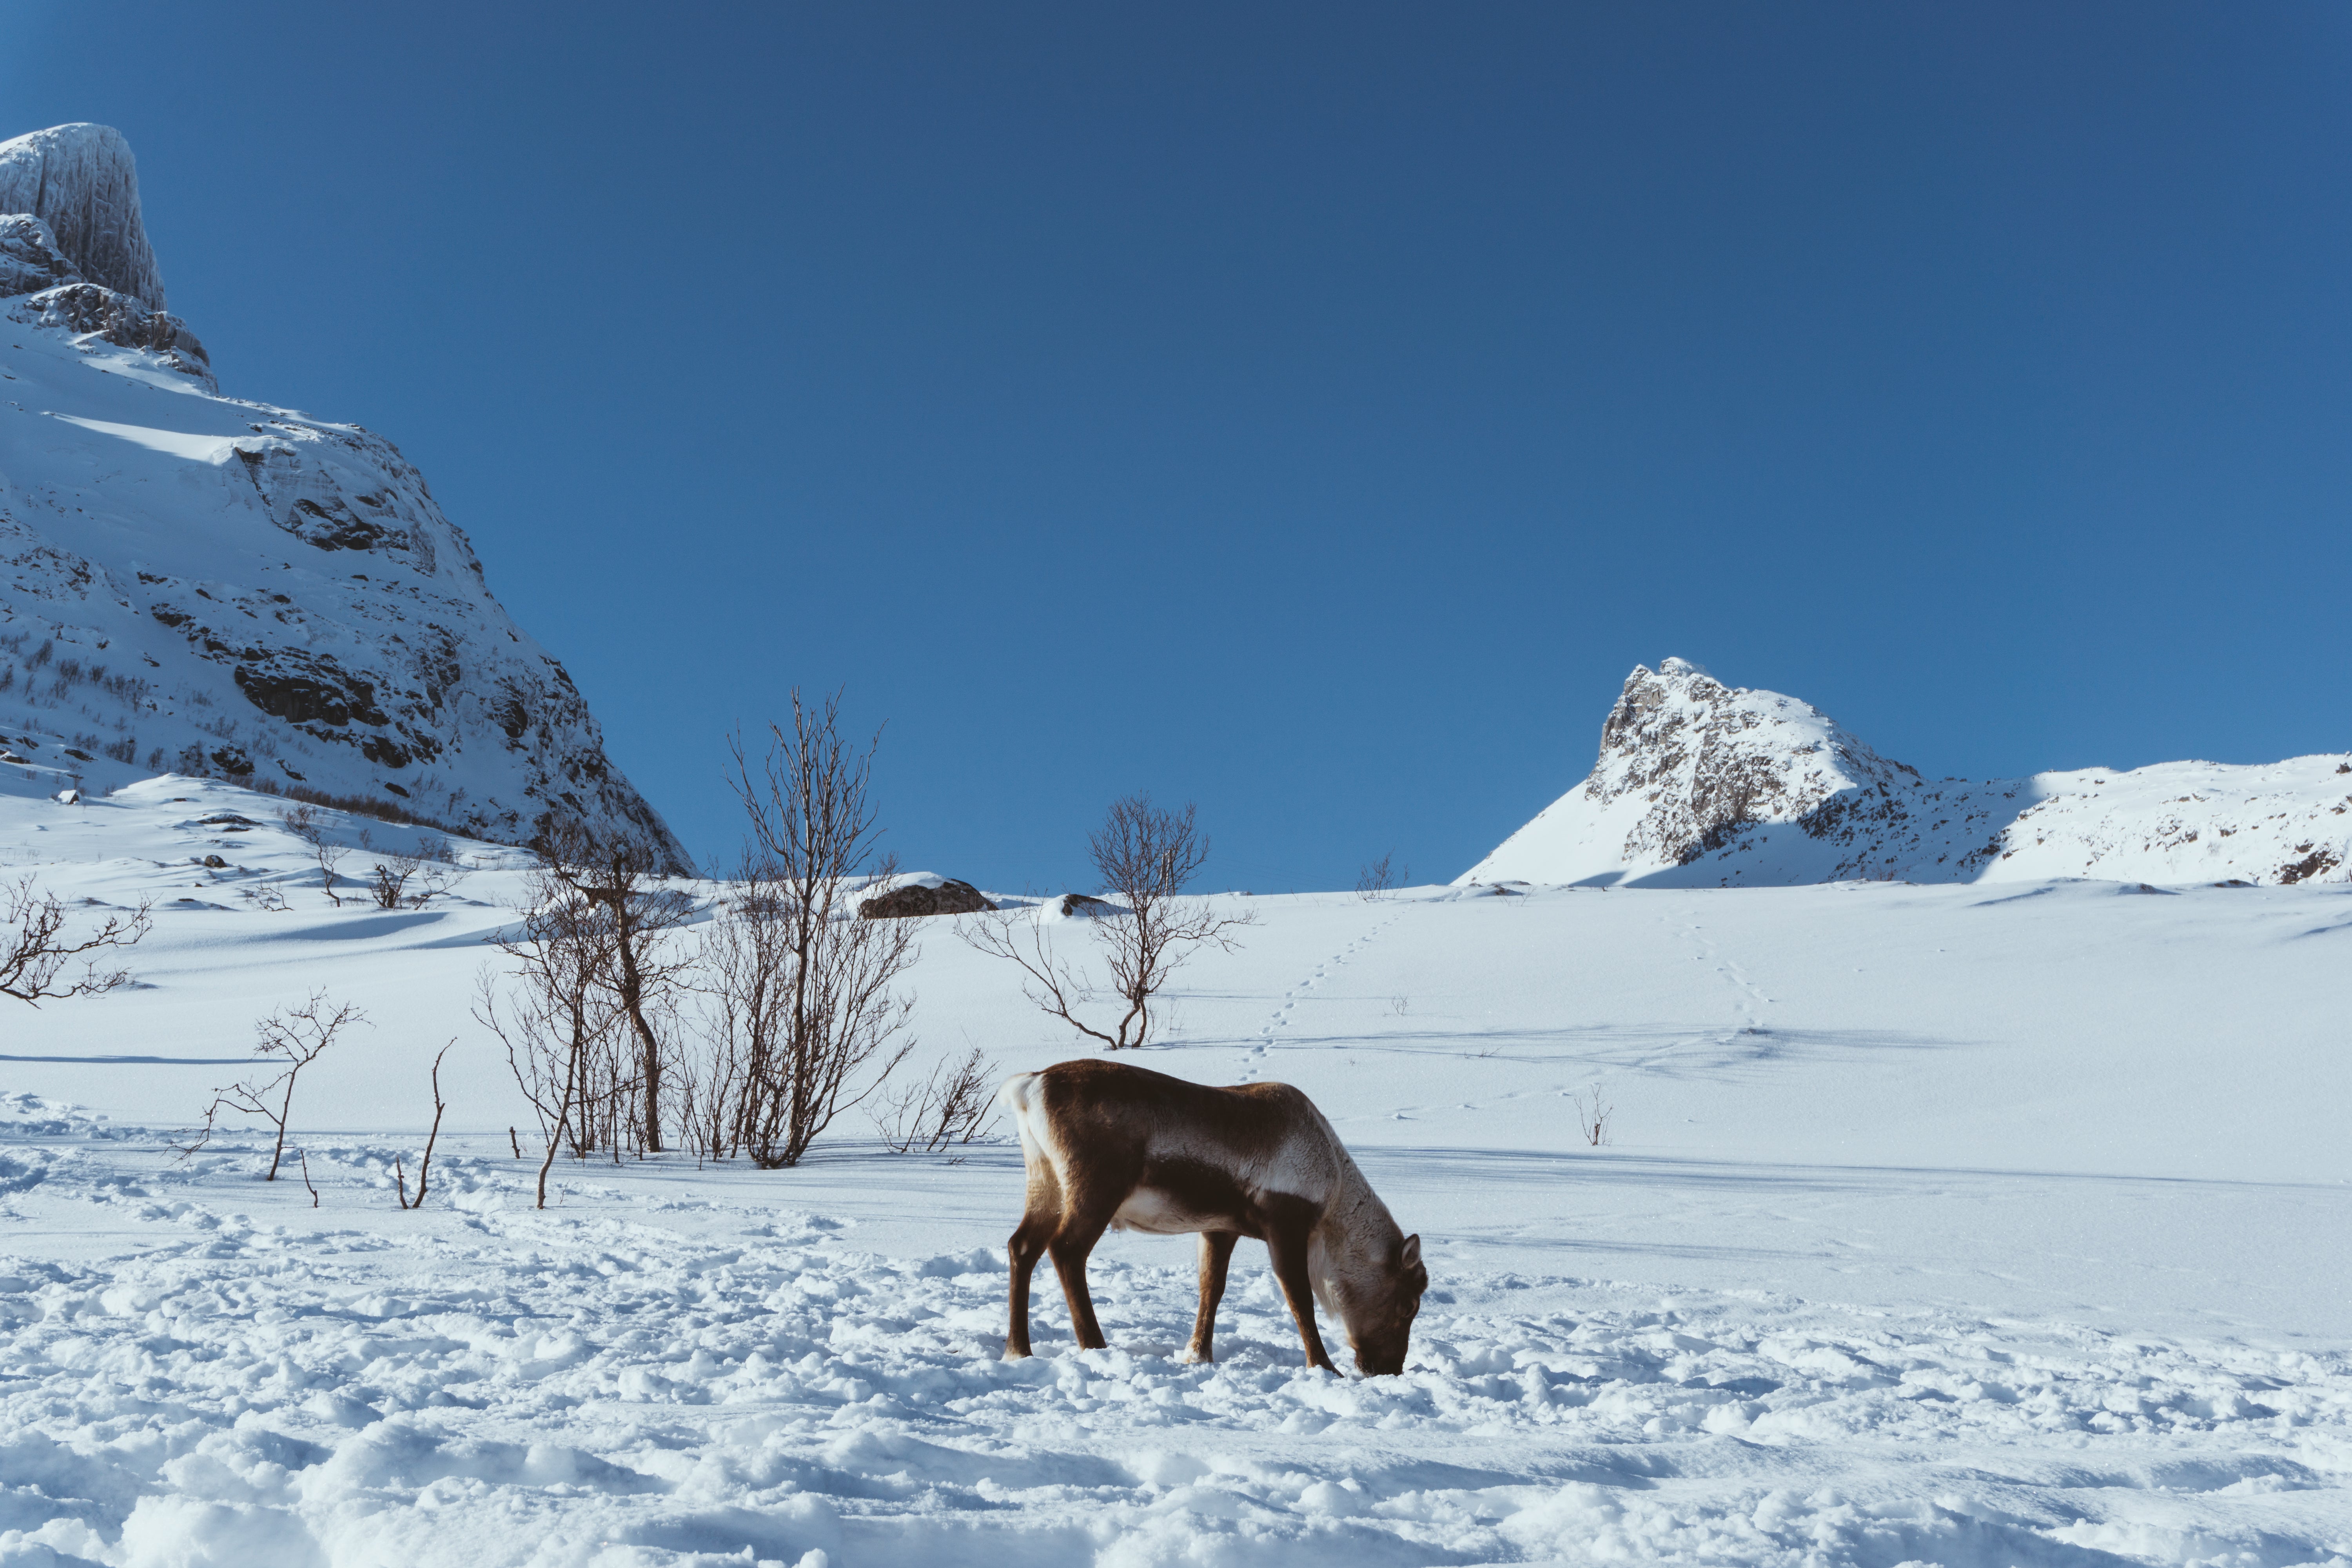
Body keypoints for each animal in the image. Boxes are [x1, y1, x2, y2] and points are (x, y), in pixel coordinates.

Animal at [998, 1059, 1427, 1375]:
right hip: (1095, 1189)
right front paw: (1324, 1367)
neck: (1333, 1198)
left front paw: (1198, 1356)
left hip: (1045, 1182)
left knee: (1022, 1246)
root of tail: (1031, 1086)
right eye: (1408, 1305)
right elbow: (1299, 1299)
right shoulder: (1285, 1223)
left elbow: (1212, 1289)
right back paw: (1094, 1344)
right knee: (1066, 1250)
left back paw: (1017, 1349)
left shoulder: (1219, 1228)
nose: (1390, 1368)